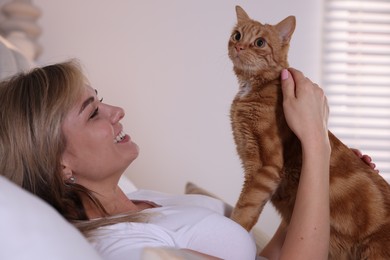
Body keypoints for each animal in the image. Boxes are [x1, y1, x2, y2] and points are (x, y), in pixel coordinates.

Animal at [229, 5, 390, 258]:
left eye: (260, 42)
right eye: (237, 36)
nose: (239, 46)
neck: (251, 88)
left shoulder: (266, 168)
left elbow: (244, 211)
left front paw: (230, 231)